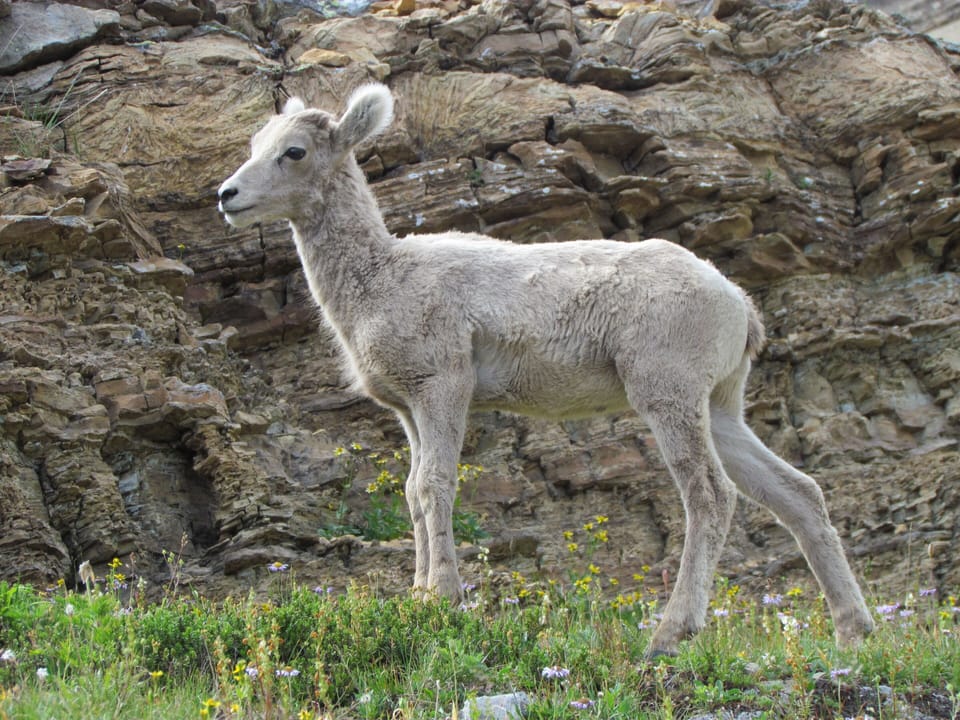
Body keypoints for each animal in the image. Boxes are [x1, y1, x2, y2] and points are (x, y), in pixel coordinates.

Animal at [217, 83, 874, 656]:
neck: (380, 280)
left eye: (294, 151)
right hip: (721, 408)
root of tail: (739, 304)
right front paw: (418, 595)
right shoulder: (406, 408)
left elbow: (434, 486)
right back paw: (854, 633)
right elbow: (411, 493)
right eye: (256, 141)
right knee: (798, 493)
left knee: (711, 496)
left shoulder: (443, 387)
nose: (227, 195)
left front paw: (443, 599)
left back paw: (671, 634)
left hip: (669, 394)